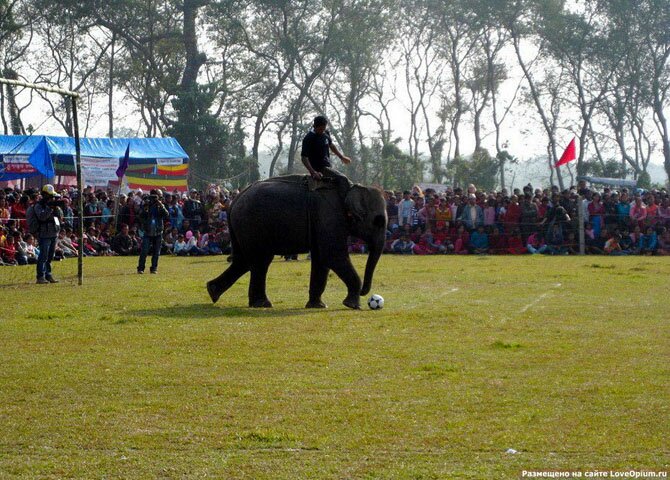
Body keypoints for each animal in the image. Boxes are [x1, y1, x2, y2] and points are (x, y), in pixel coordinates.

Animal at [209, 174, 388, 310]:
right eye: (378, 221)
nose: (369, 296)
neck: (351, 187)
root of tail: (235, 201)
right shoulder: (329, 216)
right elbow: (332, 255)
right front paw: (352, 305)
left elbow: (321, 258)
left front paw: (318, 306)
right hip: (252, 225)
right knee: (260, 261)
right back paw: (262, 304)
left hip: (242, 228)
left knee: (244, 261)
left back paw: (213, 292)